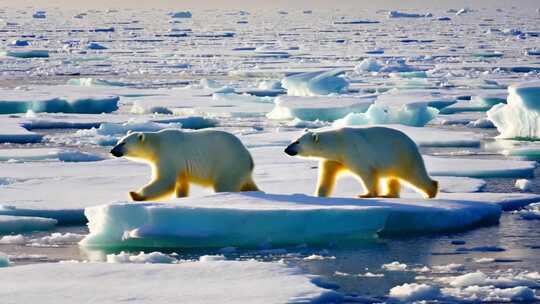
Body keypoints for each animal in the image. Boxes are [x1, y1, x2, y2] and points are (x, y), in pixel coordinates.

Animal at [110, 129, 260, 202]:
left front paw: (135, 195)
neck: (157, 144)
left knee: (224, 184)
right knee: (248, 184)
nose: (112, 151)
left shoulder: (168, 155)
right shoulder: (180, 166)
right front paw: (180, 198)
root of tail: (248, 156)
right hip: (239, 169)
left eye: (123, 143)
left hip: (227, 164)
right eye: (119, 141)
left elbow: (164, 181)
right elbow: (181, 183)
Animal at [284, 126, 436, 200]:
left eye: (297, 142)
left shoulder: (354, 154)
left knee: (414, 174)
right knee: (391, 177)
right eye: (293, 139)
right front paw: (318, 194)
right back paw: (388, 194)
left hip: (401, 155)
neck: (337, 144)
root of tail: (413, 143)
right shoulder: (334, 158)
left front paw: (366, 195)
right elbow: (327, 175)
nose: (286, 149)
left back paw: (431, 192)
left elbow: (367, 174)